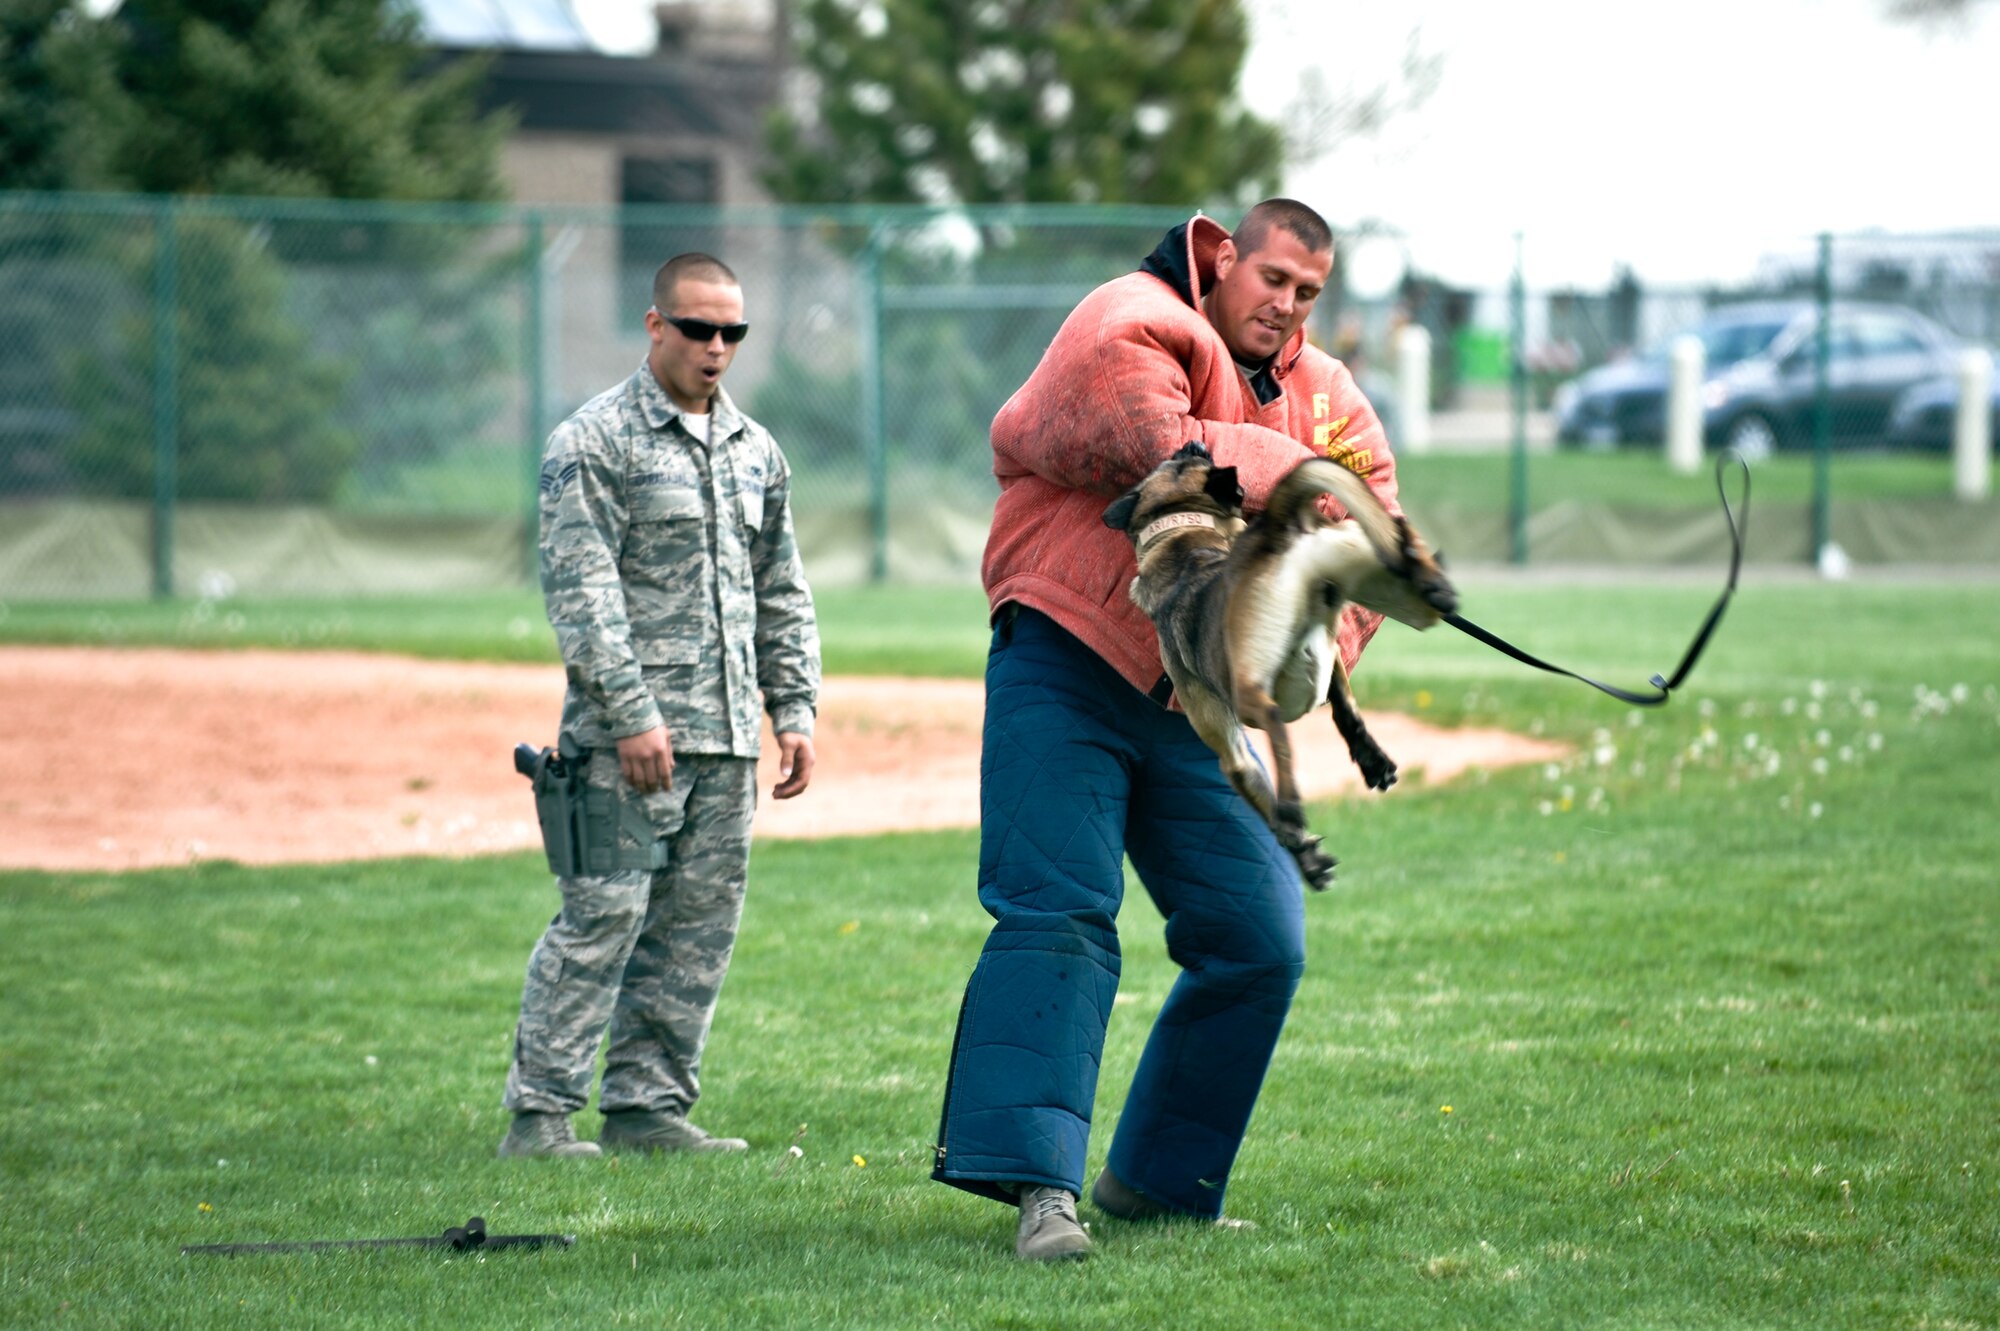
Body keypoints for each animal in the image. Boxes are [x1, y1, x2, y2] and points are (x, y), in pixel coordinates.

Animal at [1104, 439, 1464, 887]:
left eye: (1192, 458)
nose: (1196, 442)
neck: (1184, 538)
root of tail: (1276, 528)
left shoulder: (1232, 753)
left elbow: (1266, 804)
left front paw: (1301, 848)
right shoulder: (1333, 656)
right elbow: (1345, 707)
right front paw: (1371, 761)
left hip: (1247, 687)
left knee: (1274, 724)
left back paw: (1292, 804)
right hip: (1373, 566)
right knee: (1401, 542)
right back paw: (1424, 567)